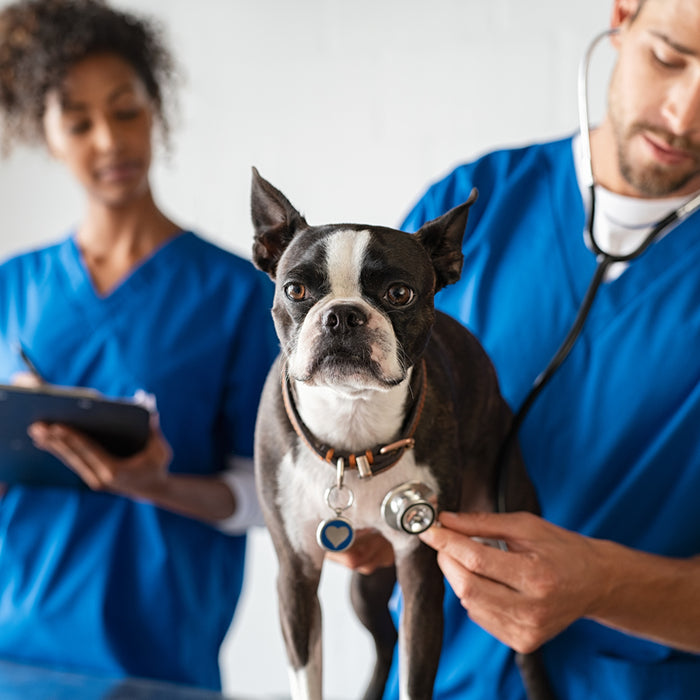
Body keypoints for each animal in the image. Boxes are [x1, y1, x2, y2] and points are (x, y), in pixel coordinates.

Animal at [252, 170, 552, 700]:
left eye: (399, 294)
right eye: (295, 289)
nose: (343, 314)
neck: (351, 432)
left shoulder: (420, 573)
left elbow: (416, 674)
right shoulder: (296, 574)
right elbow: (308, 676)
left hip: (504, 525)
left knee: (523, 647)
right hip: (366, 584)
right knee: (385, 637)